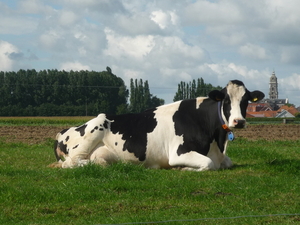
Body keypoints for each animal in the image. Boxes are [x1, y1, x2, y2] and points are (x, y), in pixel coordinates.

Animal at [51, 80, 264, 171]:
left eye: (245, 100)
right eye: (226, 100)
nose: (239, 121)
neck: (217, 143)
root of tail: (62, 131)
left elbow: (227, 162)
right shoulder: (178, 153)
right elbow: (208, 164)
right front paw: (184, 169)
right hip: (94, 129)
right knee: (71, 163)